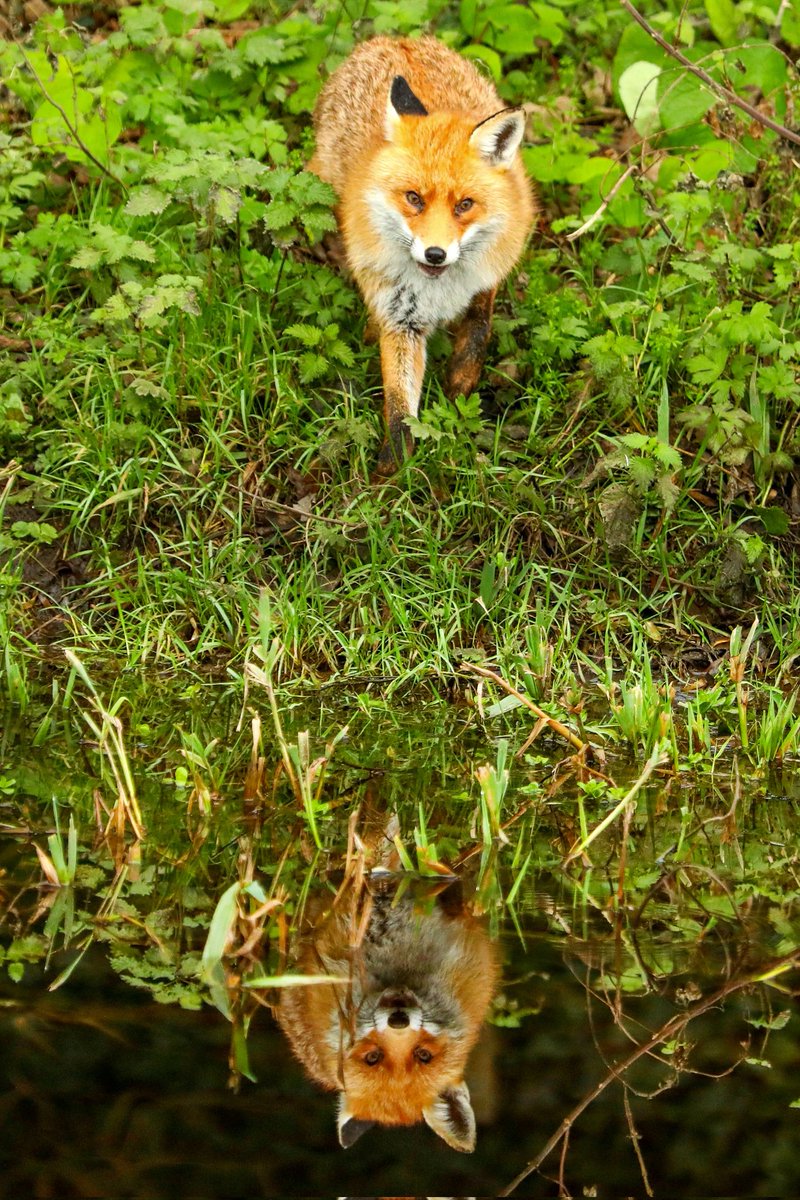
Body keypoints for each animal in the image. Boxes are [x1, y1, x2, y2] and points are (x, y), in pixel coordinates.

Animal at [308, 36, 535, 476]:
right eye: (414, 198)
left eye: (465, 205)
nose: (435, 254)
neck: (439, 289)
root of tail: (393, 39)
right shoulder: (400, 318)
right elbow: (399, 404)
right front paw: (394, 471)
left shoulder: (489, 274)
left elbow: (477, 333)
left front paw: (459, 391)